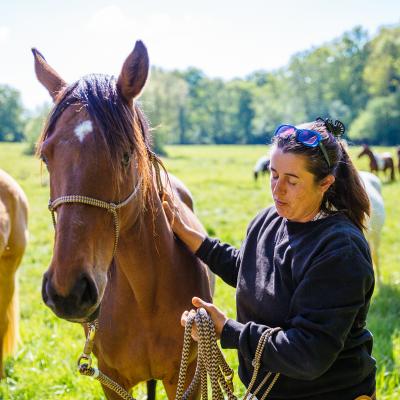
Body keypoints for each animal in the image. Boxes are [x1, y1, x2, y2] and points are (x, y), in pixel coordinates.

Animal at [32, 41, 212, 400]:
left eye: (127, 155)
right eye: (46, 156)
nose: (68, 291)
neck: (146, 294)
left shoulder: (190, 377)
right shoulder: (110, 379)